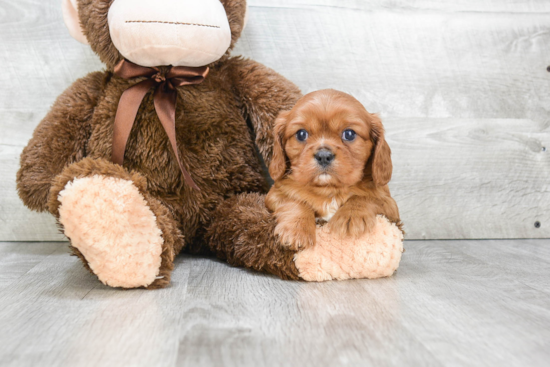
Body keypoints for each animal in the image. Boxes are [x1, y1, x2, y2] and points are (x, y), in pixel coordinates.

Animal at [268, 89, 402, 252]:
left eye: (349, 134)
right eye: (301, 134)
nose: (323, 155)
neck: (329, 190)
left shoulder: (390, 206)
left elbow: (365, 198)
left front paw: (351, 217)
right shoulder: (274, 194)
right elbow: (295, 201)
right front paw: (297, 229)